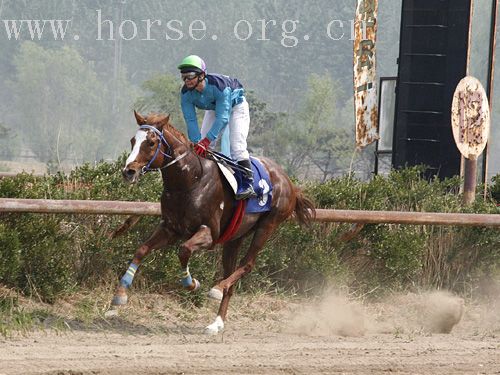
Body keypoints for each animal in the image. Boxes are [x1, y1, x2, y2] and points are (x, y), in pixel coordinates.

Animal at [114, 111, 316, 334]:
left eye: (150, 142)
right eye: (133, 141)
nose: (128, 171)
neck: (190, 180)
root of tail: (289, 182)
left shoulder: (209, 233)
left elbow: (184, 250)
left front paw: (192, 283)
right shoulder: (170, 228)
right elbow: (142, 249)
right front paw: (121, 294)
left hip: (268, 225)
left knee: (247, 264)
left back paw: (217, 288)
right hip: (235, 237)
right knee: (231, 273)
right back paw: (217, 322)